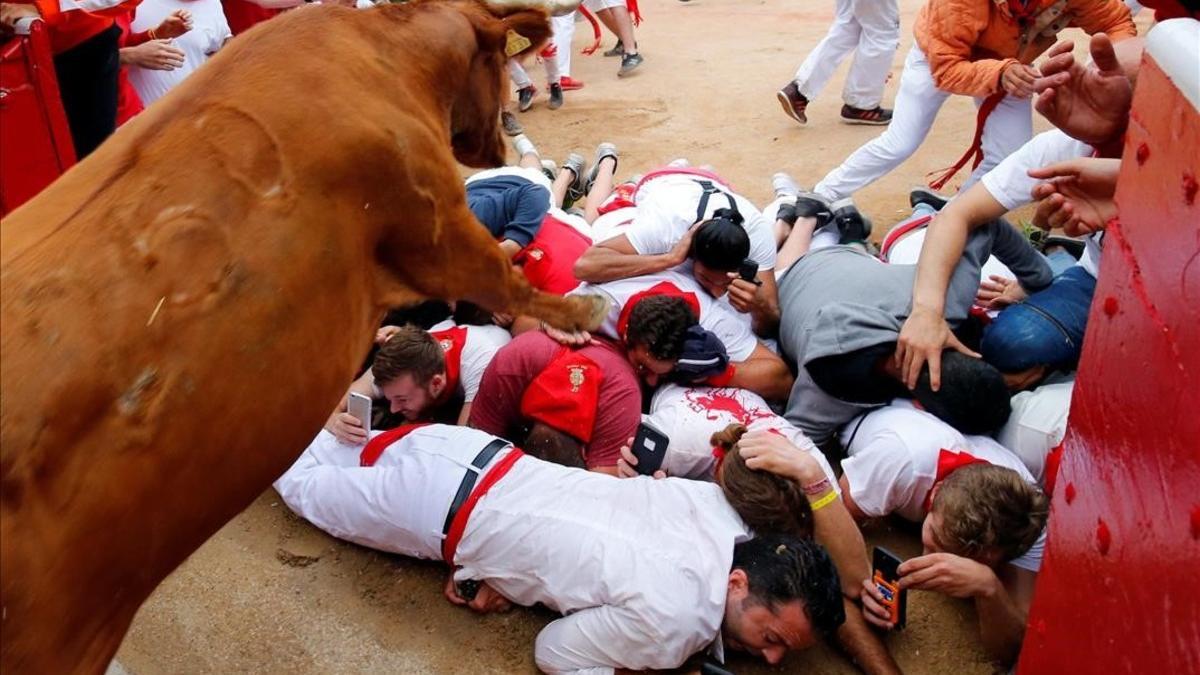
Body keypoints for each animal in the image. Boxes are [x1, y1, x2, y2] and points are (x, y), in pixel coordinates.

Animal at [0, 2, 600, 667]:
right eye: (495, 62)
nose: (504, 136)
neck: (381, 52)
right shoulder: (437, 222)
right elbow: (502, 276)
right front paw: (581, 311)